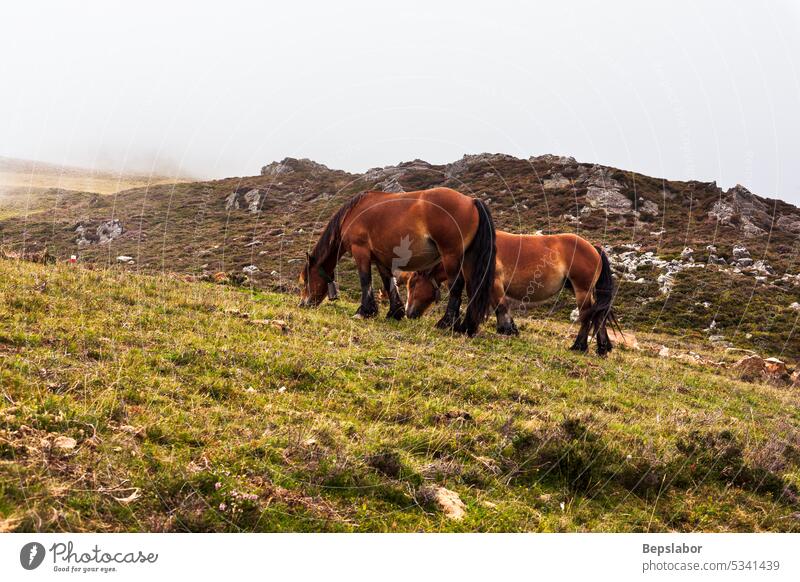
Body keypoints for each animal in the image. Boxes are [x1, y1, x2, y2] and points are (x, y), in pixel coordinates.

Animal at [300, 187, 496, 334]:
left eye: (306, 279)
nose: (303, 304)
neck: (352, 213)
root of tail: (471, 200)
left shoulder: (360, 251)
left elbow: (365, 280)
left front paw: (363, 312)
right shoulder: (380, 259)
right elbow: (389, 283)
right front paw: (395, 312)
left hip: (451, 257)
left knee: (457, 286)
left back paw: (446, 323)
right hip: (468, 259)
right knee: (472, 288)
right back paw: (466, 327)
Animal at [400, 233, 620, 356]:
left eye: (413, 283)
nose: (408, 313)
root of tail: (593, 248)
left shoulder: (494, 283)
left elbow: (500, 305)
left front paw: (507, 330)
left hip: (582, 290)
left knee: (587, 316)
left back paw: (579, 346)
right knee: (598, 316)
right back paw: (602, 348)